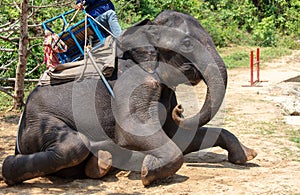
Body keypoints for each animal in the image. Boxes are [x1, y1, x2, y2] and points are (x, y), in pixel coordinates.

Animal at [1, 9, 256, 187]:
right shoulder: (130, 82)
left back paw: (103, 163)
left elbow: (174, 134)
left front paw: (246, 155)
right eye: (186, 43)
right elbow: (132, 131)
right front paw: (148, 173)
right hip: (39, 122)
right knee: (73, 146)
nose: (181, 110)